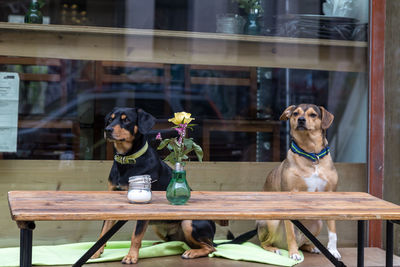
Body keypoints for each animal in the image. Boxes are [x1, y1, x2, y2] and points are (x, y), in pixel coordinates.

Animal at [91, 108, 217, 264]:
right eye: (110, 120)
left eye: (126, 120)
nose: (107, 130)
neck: (127, 160)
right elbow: (103, 233)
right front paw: (95, 253)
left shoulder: (144, 208)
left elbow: (136, 235)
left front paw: (131, 256)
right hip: (159, 226)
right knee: (178, 242)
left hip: (189, 223)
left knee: (211, 248)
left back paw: (192, 252)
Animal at [256, 104, 340, 262]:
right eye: (295, 113)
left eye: (313, 114)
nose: (301, 119)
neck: (312, 154)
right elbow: (291, 234)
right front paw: (293, 253)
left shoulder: (330, 195)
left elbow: (333, 232)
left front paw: (333, 251)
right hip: (272, 221)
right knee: (264, 243)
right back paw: (274, 249)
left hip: (318, 223)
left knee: (304, 241)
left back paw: (311, 247)